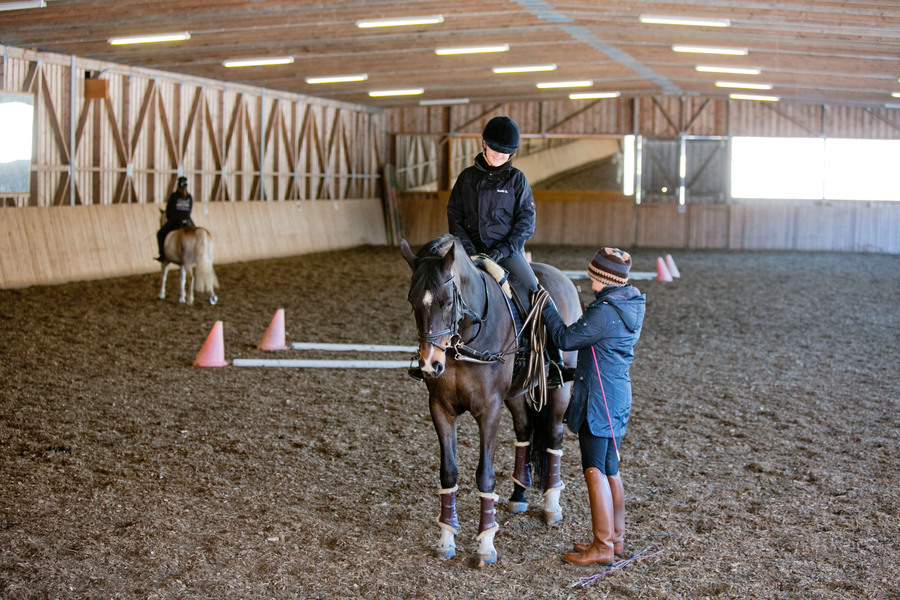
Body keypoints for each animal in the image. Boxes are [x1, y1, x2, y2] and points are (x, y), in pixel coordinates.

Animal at [400, 236, 584, 568]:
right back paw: (518, 497)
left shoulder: (488, 411)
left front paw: (486, 544)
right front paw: (446, 539)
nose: (430, 365)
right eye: (412, 301)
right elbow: (448, 472)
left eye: (448, 302)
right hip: (517, 394)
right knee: (524, 432)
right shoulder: (440, 409)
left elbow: (484, 476)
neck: (465, 340)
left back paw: (551, 506)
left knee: (553, 437)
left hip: (559, 391)